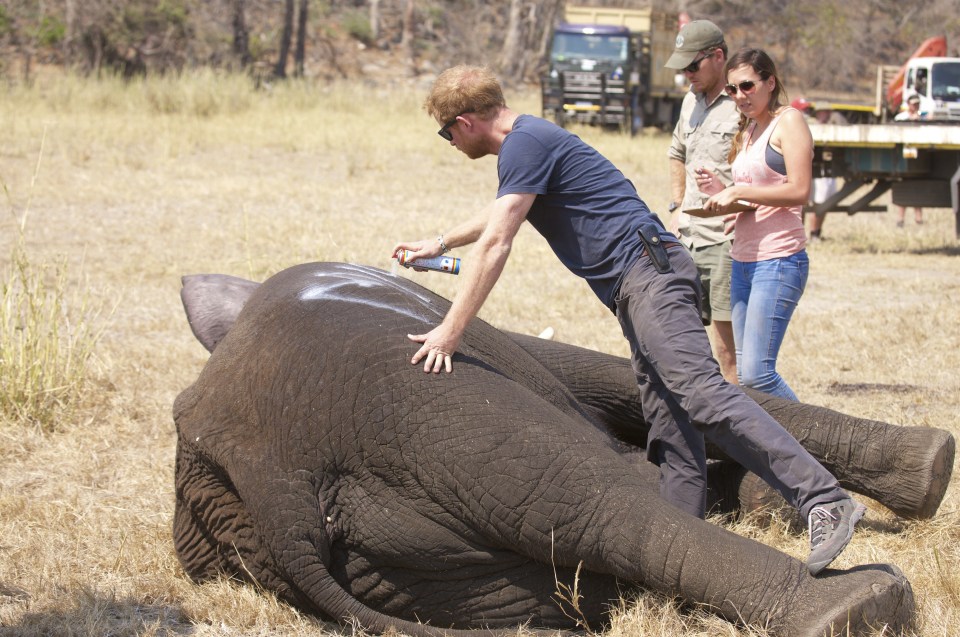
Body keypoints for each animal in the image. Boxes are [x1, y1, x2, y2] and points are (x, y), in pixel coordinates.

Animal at [172, 260, 928, 636]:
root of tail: (273, 485)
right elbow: (612, 377)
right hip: (416, 399)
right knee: (594, 500)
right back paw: (861, 606)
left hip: (439, 576)